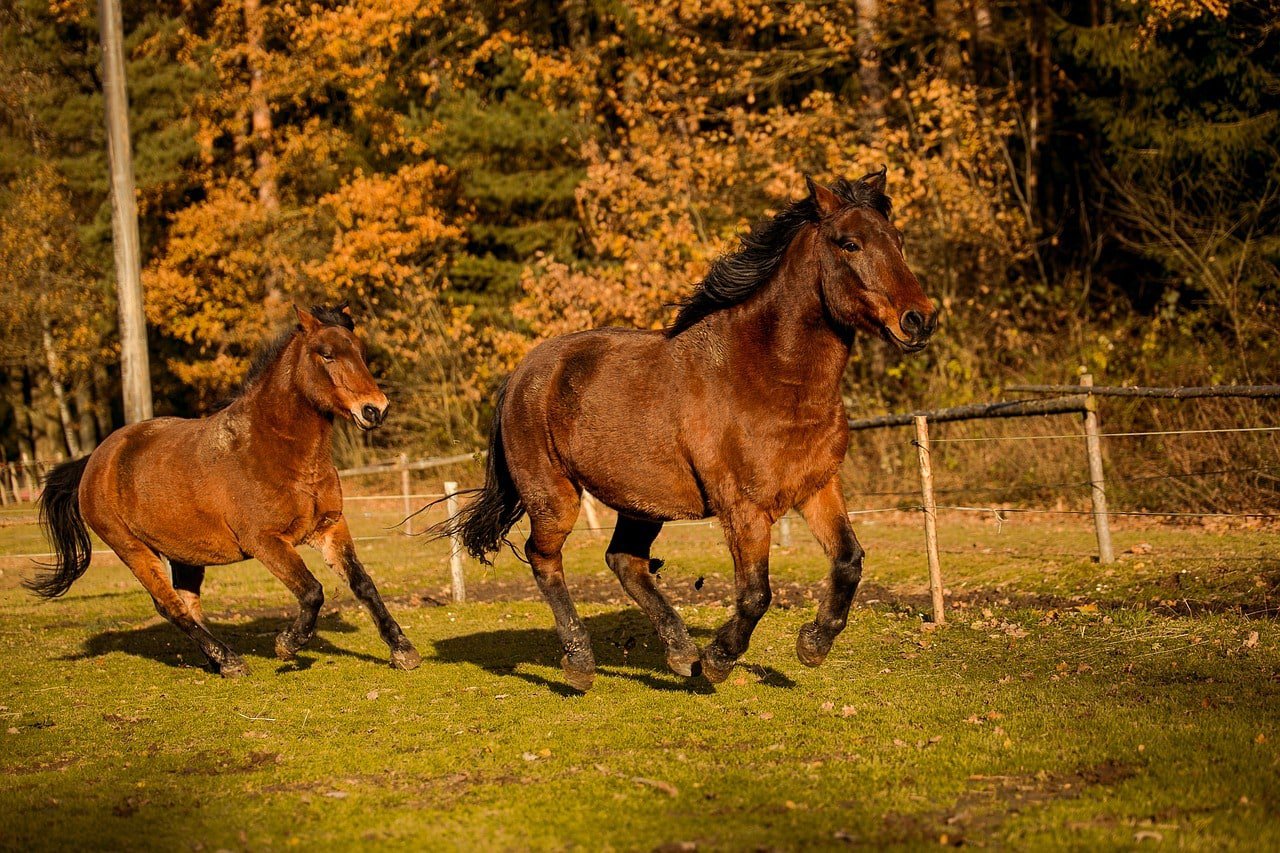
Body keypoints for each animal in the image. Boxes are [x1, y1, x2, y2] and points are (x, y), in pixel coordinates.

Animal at [28, 305, 421, 677]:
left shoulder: (329, 527)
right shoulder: (265, 541)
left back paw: (218, 662)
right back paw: (230, 660)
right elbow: (312, 592)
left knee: (188, 604)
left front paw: (403, 651)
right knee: (170, 605)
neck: (276, 450)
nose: (375, 410)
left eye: (360, 352)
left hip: (185, 554)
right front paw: (287, 645)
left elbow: (363, 584)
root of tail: (96, 459)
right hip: (133, 549)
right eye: (326, 354)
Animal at [436, 169, 936, 691]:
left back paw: (679, 653)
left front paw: (813, 644)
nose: (920, 320)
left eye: (897, 240)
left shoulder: (817, 487)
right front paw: (720, 657)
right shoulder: (744, 508)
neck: (769, 375)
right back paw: (581, 663)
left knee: (624, 561)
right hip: (554, 496)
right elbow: (756, 593)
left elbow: (849, 561)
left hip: (639, 499)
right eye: (850, 243)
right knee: (544, 557)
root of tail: (522, 372)